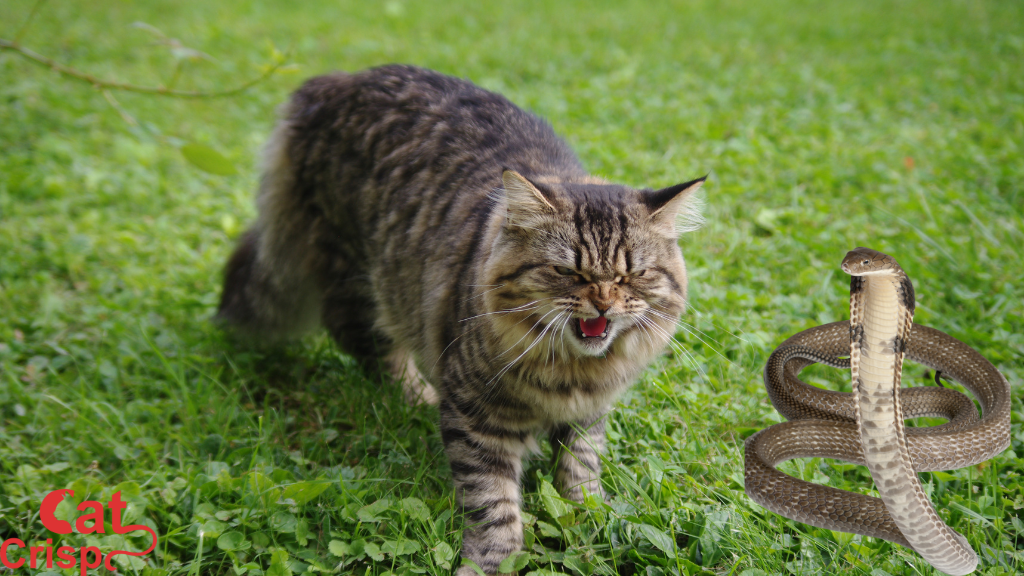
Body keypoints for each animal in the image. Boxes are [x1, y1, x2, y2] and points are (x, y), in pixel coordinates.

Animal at [218, 65, 704, 569]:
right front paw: (491, 561)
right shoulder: (476, 415)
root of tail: (335, 79)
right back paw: (419, 397)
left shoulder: (589, 412)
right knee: (368, 345)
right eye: (567, 272)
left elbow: (580, 466)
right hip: (363, 280)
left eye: (633, 276)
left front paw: (590, 517)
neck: (572, 370)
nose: (605, 303)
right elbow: (493, 500)